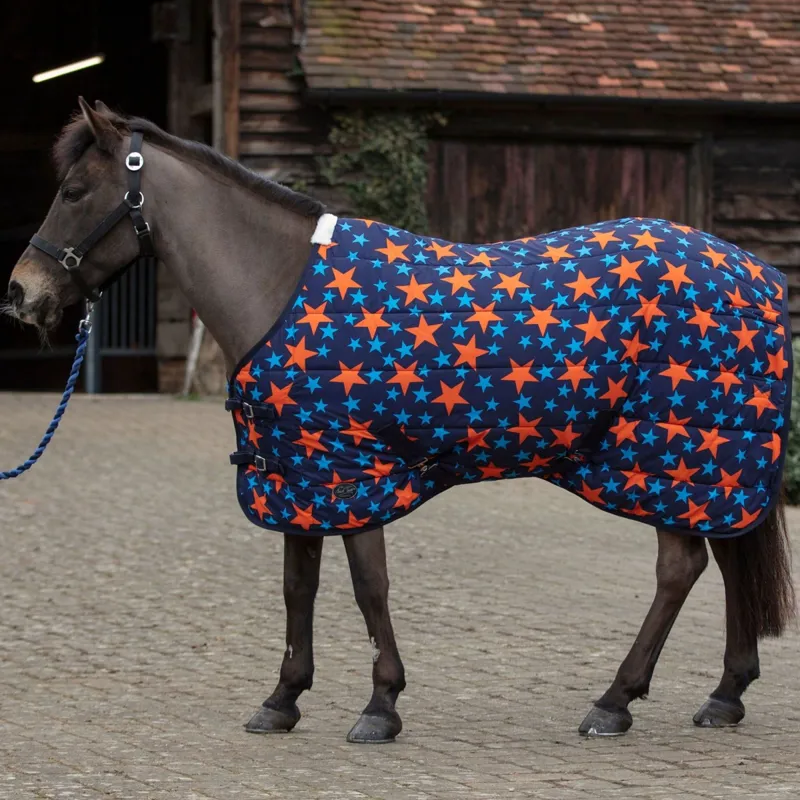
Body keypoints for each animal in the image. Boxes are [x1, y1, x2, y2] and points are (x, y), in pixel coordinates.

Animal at [7, 99, 795, 743]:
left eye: (74, 191)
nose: (21, 293)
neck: (282, 286)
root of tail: (753, 271)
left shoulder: (356, 472)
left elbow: (368, 586)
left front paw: (380, 705)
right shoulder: (300, 473)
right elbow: (299, 587)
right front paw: (282, 700)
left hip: (670, 454)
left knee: (680, 568)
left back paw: (614, 701)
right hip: (706, 461)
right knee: (727, 557)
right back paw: (724, 694)